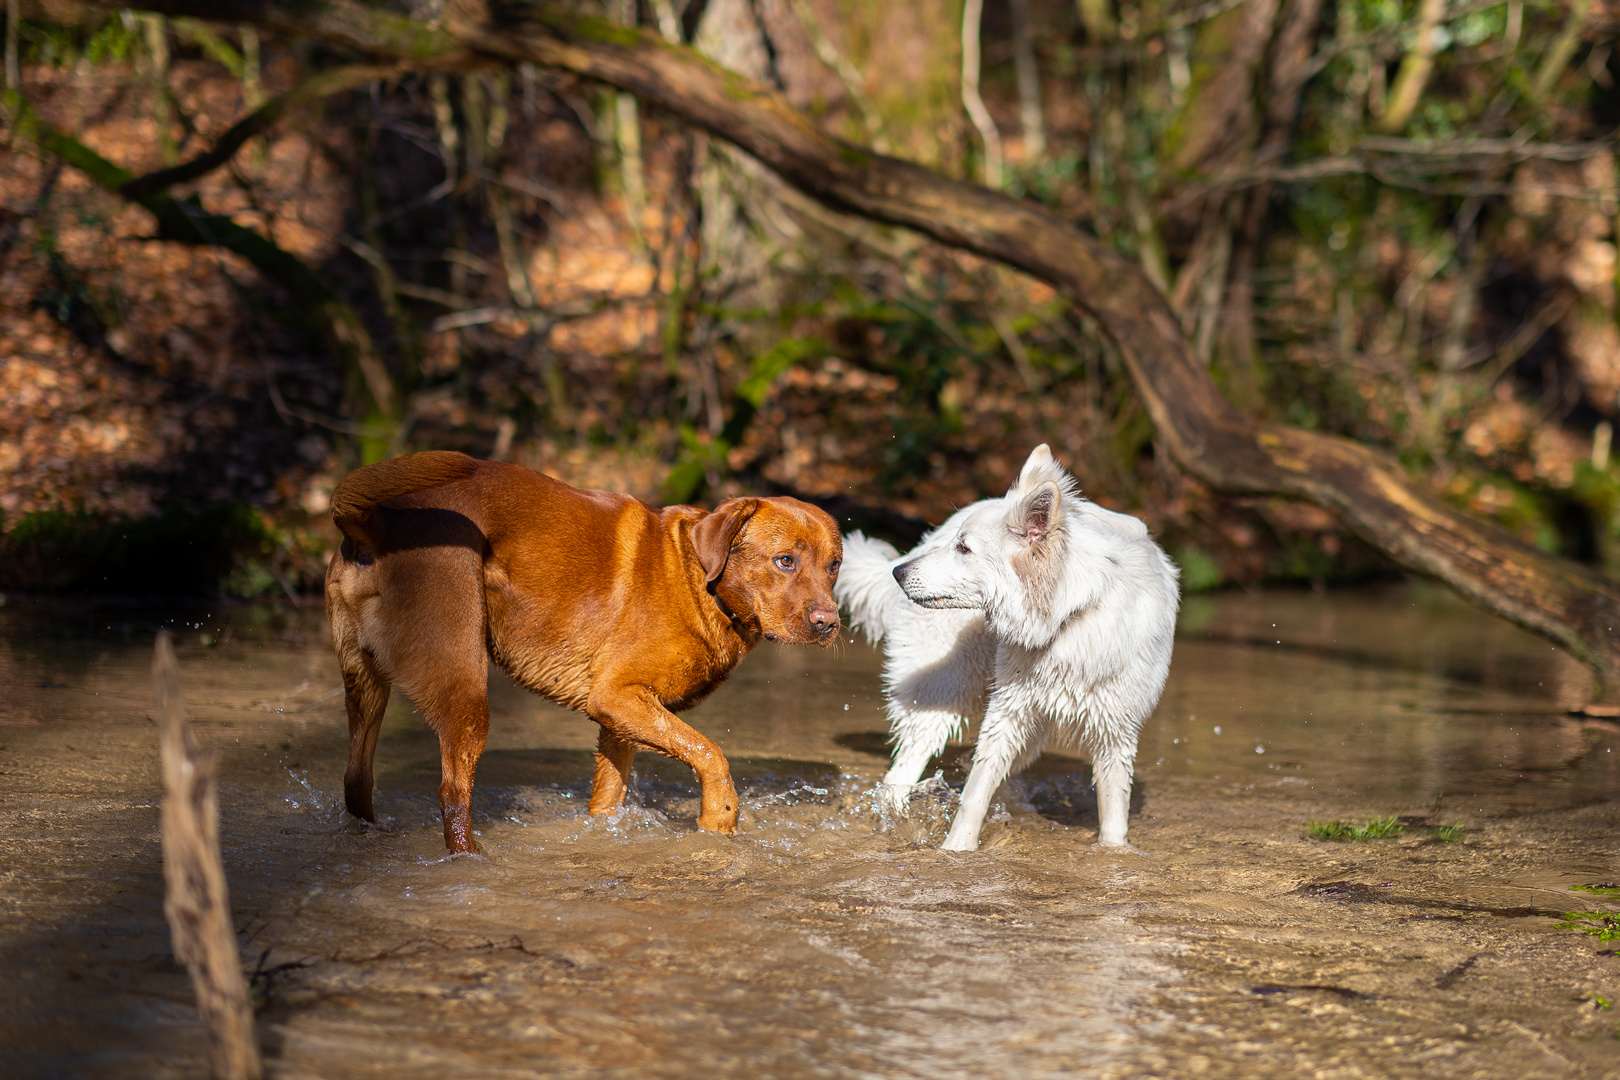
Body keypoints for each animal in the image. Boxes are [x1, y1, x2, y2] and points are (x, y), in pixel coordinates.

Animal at [322, 450, 842, 854]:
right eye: (785, 560)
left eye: (834, 566)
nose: (830, 623)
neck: (700, 579)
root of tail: (377, 524)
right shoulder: (616, 696)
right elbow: (712, 753)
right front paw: (720, 817)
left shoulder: (622, 719)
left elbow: (608, 797)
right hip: (464, 687)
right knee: (452, 792)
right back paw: (472, 858)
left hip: (364, 684)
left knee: (356, 778)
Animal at [835, 443, 1179, 848]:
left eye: (964, 549)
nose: (898, 573)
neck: (1068, 617)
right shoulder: (1005, 715)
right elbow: (973, 797)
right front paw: (955, 851)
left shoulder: (1115, 733)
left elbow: (1113, 820)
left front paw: (1114, 853)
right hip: (943, 693)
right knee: (899, 775)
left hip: (1027, 730)